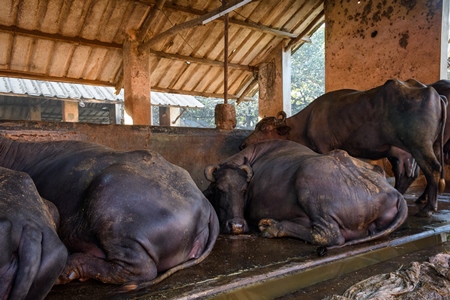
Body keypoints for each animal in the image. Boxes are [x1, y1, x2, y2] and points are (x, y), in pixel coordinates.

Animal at [204, 141, 408, 248]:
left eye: (244, 190)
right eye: (219, 189)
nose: (237, 225)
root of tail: (392, 192)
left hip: (307, 180)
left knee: (330, 234)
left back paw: (272, 227)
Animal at [241, 78, 444, 217]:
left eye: (264, 128)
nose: (243, 143)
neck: (307, 121)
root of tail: (433, 93)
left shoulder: (323, 147)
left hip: (420, 145)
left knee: (433, 169)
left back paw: (428, 208)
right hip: (403, 151)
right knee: (407, 174)